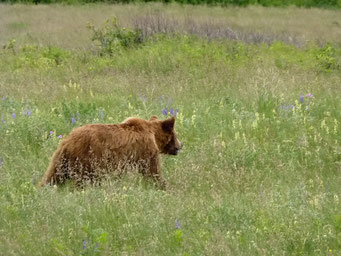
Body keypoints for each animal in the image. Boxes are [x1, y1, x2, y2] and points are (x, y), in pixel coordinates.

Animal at [38, 115, 182, 188]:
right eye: (176, 134)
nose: (180, 145)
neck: (154, 136)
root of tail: (67, 141)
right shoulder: (146, 151)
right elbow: (152, 171)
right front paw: (164, 185)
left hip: (61, 159)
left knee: (53, 176)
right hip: (87, 158)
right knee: (85, 179)